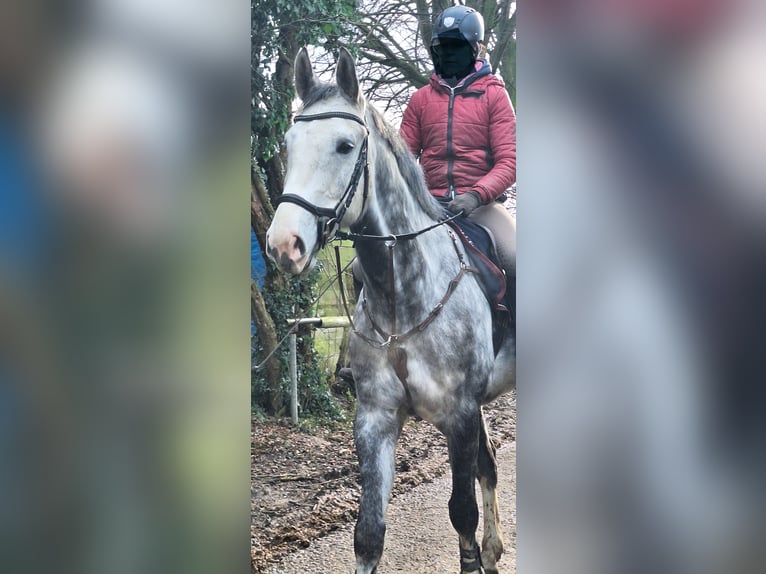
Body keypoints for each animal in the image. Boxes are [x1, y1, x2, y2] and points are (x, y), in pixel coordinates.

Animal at [266, 48, 516, 574]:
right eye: (289, 143)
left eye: (344, 146)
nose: (284, 244)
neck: (402, 298)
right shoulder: (375, 418)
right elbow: (368, 533)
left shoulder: (459, 415)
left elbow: (461, 514)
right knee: (489, 464)